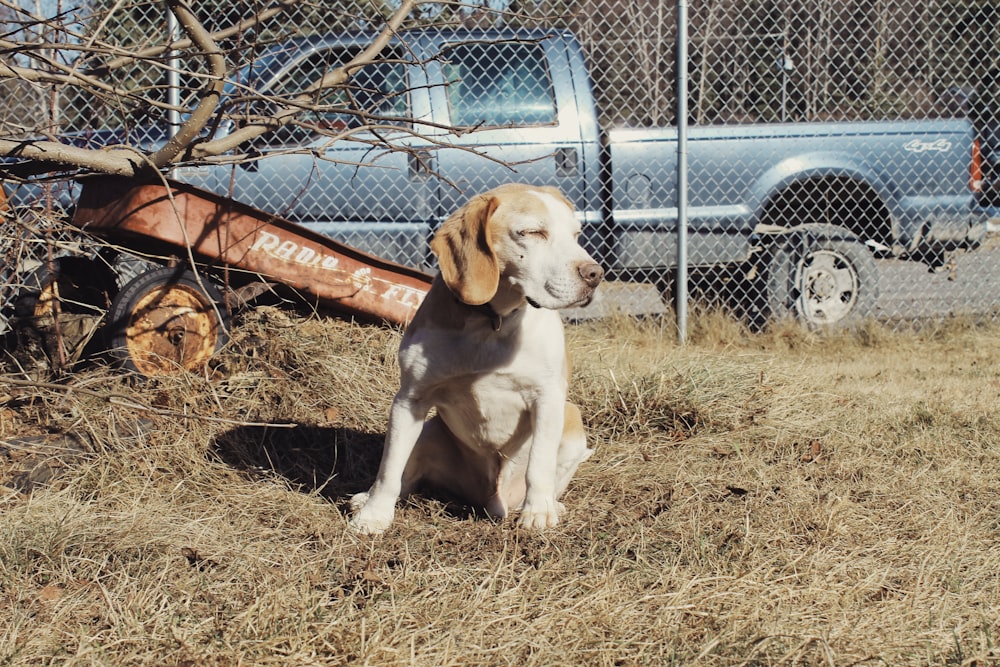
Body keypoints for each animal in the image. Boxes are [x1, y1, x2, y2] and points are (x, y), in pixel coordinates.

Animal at [348, 184, 604, 536]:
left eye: (576, 234)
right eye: (533, 232)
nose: (596, 274)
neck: (491, 321)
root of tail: (494, 499)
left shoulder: (547, 398)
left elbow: (539, 463)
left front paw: (538, 512)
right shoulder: (409, 399)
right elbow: (389, 468)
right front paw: (373, 516)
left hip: (572, 417)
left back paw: (551, 504)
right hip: (429, 429)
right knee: (405, 476)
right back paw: (367, 497)